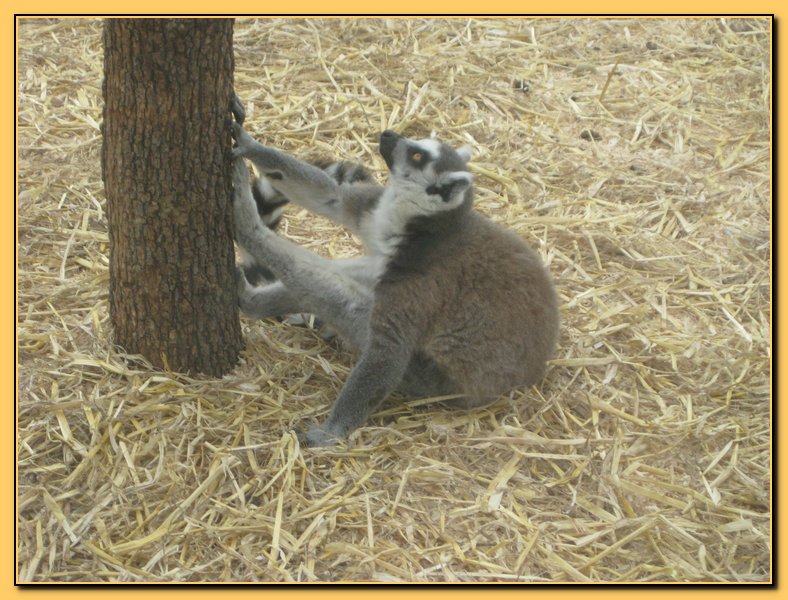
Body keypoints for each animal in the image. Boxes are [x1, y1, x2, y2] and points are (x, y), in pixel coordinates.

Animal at [229, 119, 559, 447]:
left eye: (417, 155)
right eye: (419, 146)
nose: (388, 134)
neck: (417, 227)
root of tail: (533, 374)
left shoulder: (424, 285)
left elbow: (388, 353)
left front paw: (331, 431)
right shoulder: (374, 212)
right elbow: (331, 196)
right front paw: (249, 145)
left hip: (431, 378)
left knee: (343, 299)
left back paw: (251, 238)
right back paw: (255, 298)